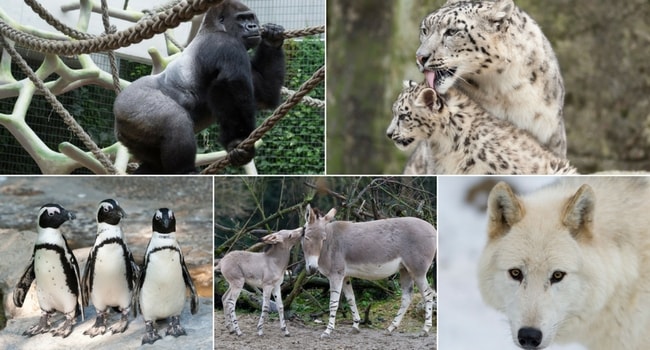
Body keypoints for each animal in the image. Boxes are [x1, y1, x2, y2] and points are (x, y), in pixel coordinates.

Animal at [113, 0, 284, 174]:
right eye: (241, 19)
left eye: (251, 18)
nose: (252, 26)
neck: (213, 28)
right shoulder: (227, 44)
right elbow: (231, 85)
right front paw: (237, 141)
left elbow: (266, 95)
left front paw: (272, 38)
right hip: (130, 104)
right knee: (175, 119)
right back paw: (185, 170)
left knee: (154, 162)